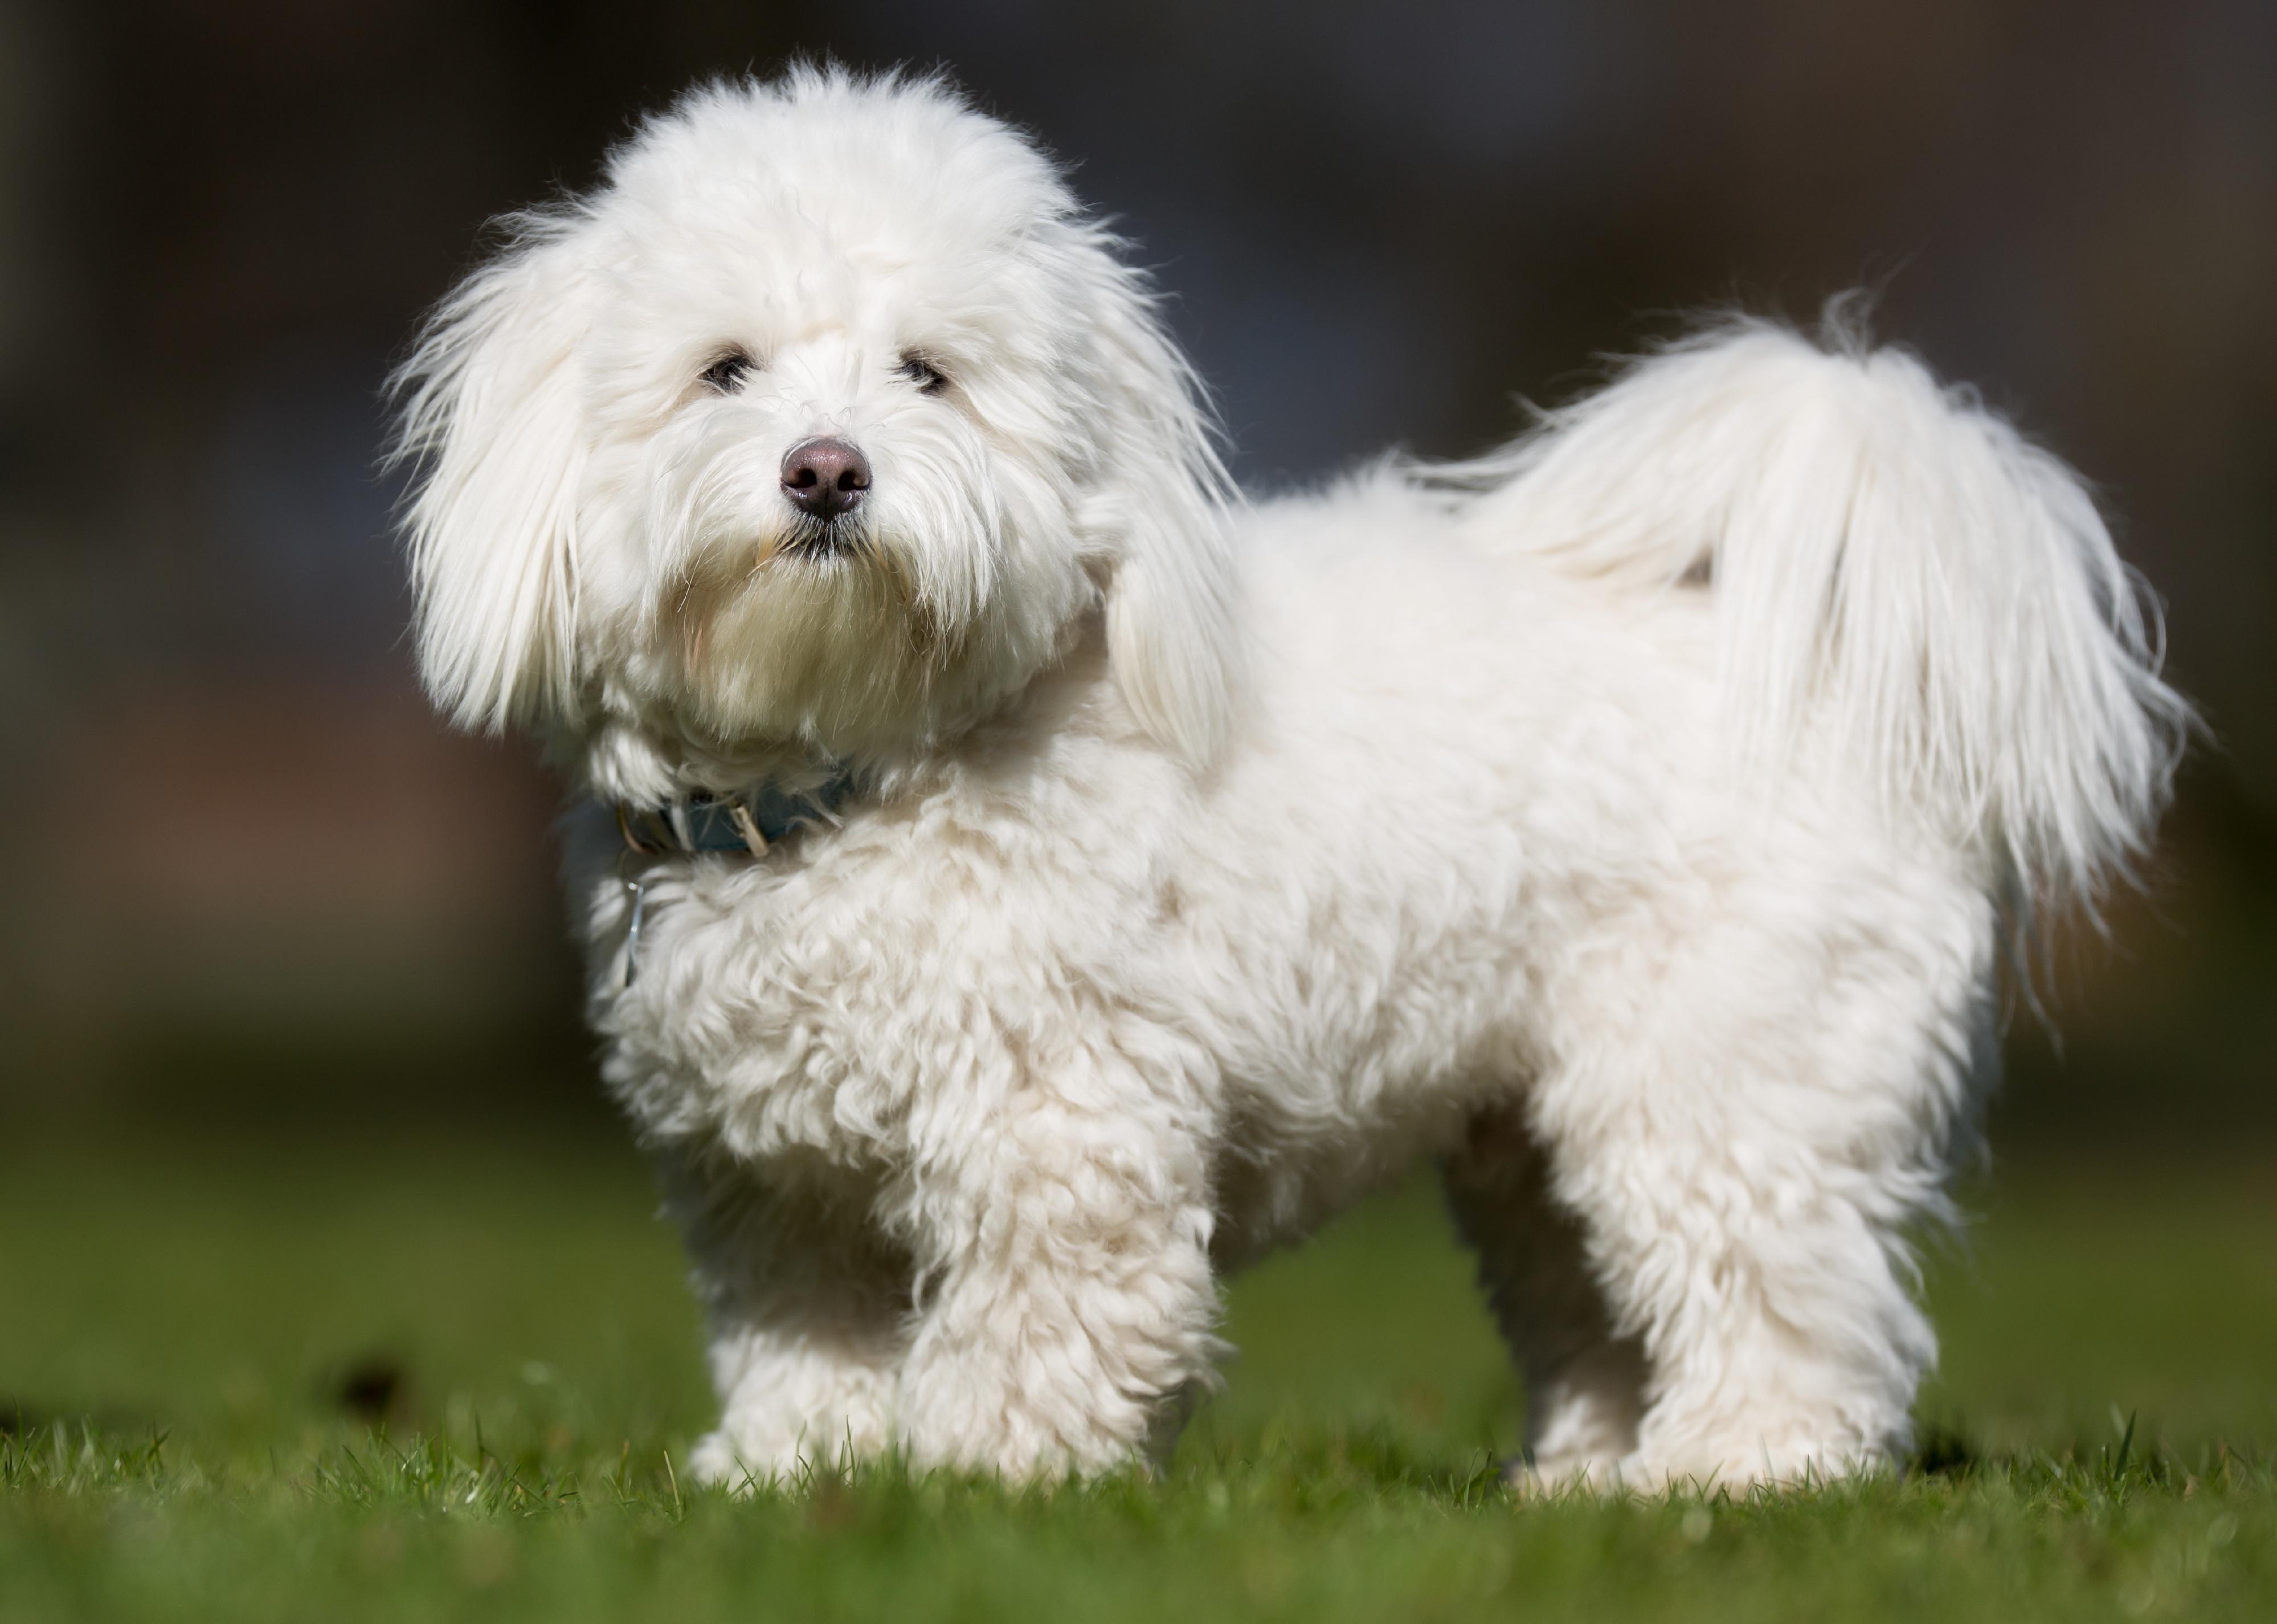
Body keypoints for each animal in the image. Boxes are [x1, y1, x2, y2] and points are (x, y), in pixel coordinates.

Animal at [391, 69, 2186, 1485]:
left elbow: (1046, 1318)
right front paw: (795, 1477)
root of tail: (1823, 675)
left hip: (1723, 1079)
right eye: (725, 369)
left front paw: (981, 1477)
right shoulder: (774, 1181)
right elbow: (803, 1341)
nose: (826, 472)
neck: (858, 776)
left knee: (1788, 1300)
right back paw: (1589, 1489)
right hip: (1534, 1137)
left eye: (927, 373)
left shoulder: (1061, 1125)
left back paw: (1738, 1478)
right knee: (1599, 1303)